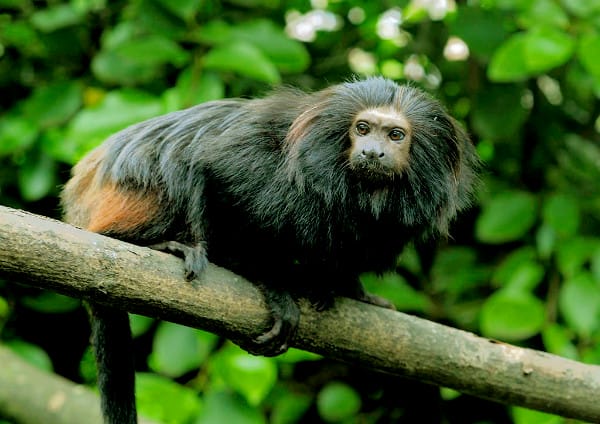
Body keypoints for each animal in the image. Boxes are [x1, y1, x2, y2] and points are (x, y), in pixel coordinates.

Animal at [58, 77, 478, 424]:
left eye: (395, 135)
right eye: (362, 129)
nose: (372, 152)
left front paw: (351, 289)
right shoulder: (256, 159)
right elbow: (211, 174)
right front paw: (271, 284)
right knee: (173, 171)